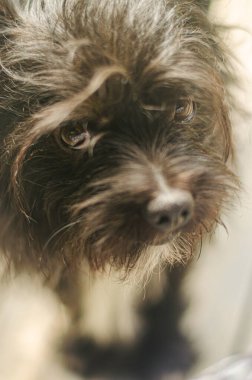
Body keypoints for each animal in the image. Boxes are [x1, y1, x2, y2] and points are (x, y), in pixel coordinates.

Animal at [0, 0, 238, 378]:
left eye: (182, 107)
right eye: (73, 133)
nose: (172, 209)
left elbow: (167, 291)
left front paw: (162, 349)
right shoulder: (46, 236)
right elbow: (72, 292)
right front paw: (90, 346)